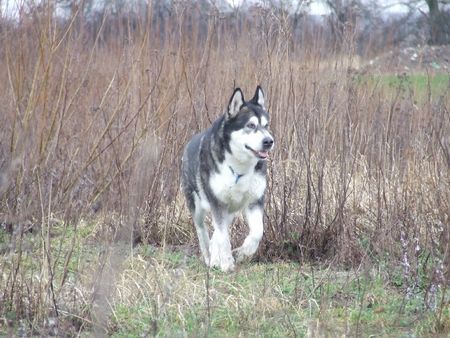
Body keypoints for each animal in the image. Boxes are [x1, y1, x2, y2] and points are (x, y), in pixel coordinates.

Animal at [180, 86, 274, 270]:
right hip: (197, 206)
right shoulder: (218, 203)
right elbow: (223, 237)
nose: (269, 141)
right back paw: (210, 257)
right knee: (203, 232)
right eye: (251, 125)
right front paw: (225, 263)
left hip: (230, 209)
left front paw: (243, 253)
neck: (238, 168)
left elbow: (257, 232)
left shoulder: (254, 200)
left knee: (217, 233)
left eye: (266, 125)